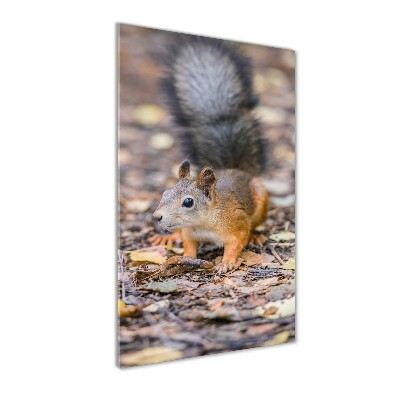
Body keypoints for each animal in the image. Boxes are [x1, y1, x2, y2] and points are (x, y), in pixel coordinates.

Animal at [150, 36, 268, 274]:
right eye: (165, 193)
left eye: (188, 202)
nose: (157, 217)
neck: (202, 222)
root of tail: (236, 169)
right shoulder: (190, 233)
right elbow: (188, 246)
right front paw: (184, 256)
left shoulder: (236, 222)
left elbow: (237, 241)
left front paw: (228, 261)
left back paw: (256, 236)